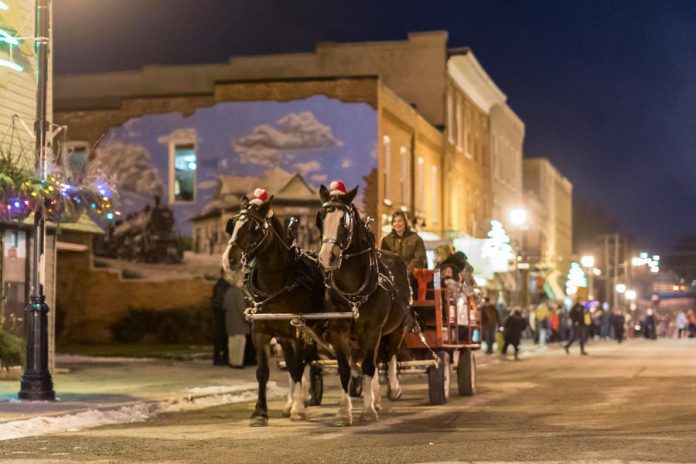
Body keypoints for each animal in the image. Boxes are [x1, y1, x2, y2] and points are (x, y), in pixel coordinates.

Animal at [220, 194, 324, 426]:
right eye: (233, 225)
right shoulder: (260, 331)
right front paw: (260, 412)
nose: (228, 260)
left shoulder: (298, 331)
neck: (277, 284)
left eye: (254, 228)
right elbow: (263, 372)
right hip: (284, 337)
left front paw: (298, 409)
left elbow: (297, 367)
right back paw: (289, 403)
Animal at [316, 185, 414, 424]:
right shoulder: (338, 332)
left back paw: (392, 390)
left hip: (396, 328)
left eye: (344, 221)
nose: (326, 257)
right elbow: (344, 369)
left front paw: (368, 410)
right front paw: (345, 411)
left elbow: (370, 366)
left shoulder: (372, 330)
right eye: (321, 217)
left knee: (390, 355)